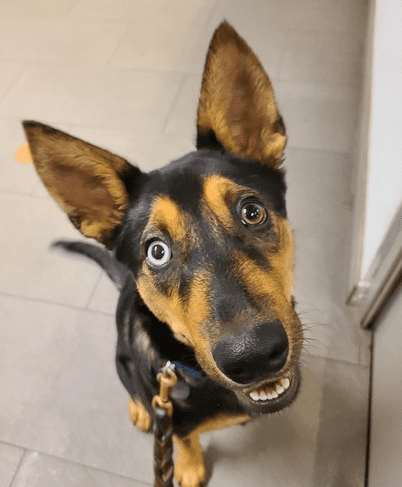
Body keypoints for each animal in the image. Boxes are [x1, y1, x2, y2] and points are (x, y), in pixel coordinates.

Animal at [22, 21, 302, 487]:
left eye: (252, 211)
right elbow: (182, 438)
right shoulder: (173, 412)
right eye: (156, 252)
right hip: (121, 361)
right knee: (133, 390)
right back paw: (139, 409)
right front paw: (187, 467)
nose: (254, 356)